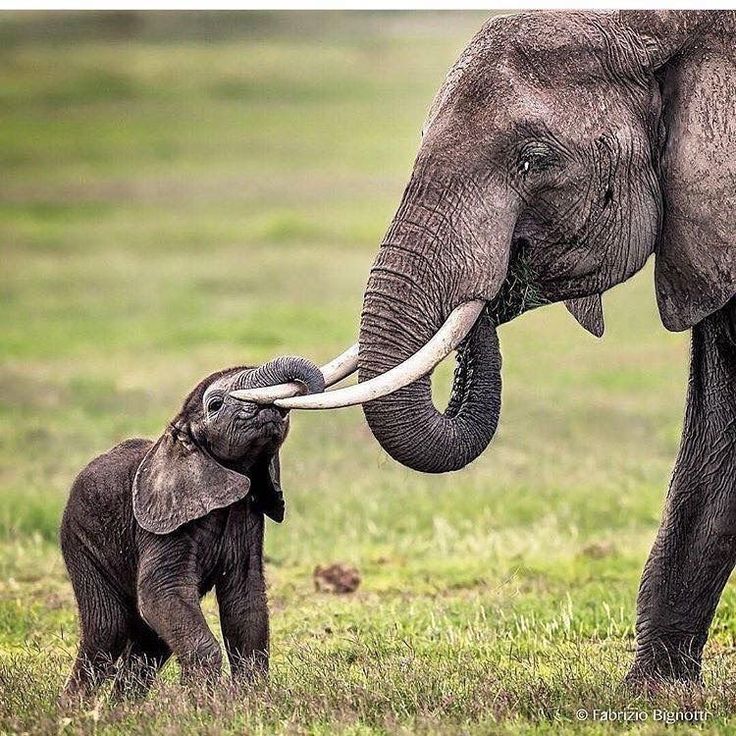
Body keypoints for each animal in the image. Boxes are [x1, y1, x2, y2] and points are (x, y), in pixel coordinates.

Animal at [61, 356, 326, 700]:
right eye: (215, 404)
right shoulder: (162, 519)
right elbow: (161, 592)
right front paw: (204, 703)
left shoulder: (246, 516)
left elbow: (245, 599)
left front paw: (249, 700)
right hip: (81, 542)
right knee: (107, 632)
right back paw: (73, 709)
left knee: (150, 641)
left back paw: (120, 709)